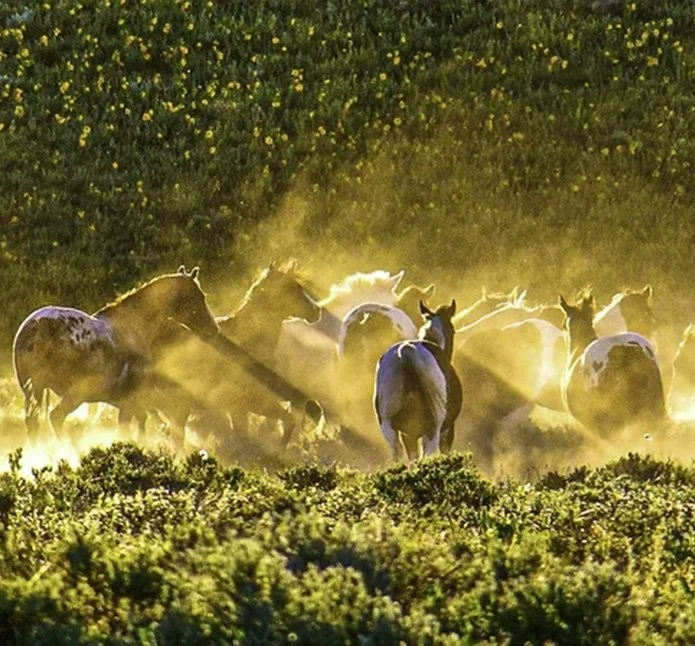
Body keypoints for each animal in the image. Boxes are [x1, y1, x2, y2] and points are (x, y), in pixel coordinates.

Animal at [12, 266, 218, 444]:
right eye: (198, 297)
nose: (213, 328)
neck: (135, 325)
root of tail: (39, 326)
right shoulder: (129, 401)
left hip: (33, 391)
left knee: (33, 424)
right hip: (75, 394)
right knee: (56, 417)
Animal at [374, 301, 462, 462]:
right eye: (453, 331)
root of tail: (406, 352)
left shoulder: (408, 434)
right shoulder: (448, 428)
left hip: (388, 426)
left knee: (397, 453)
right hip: (433, 428)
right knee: (428, 452)